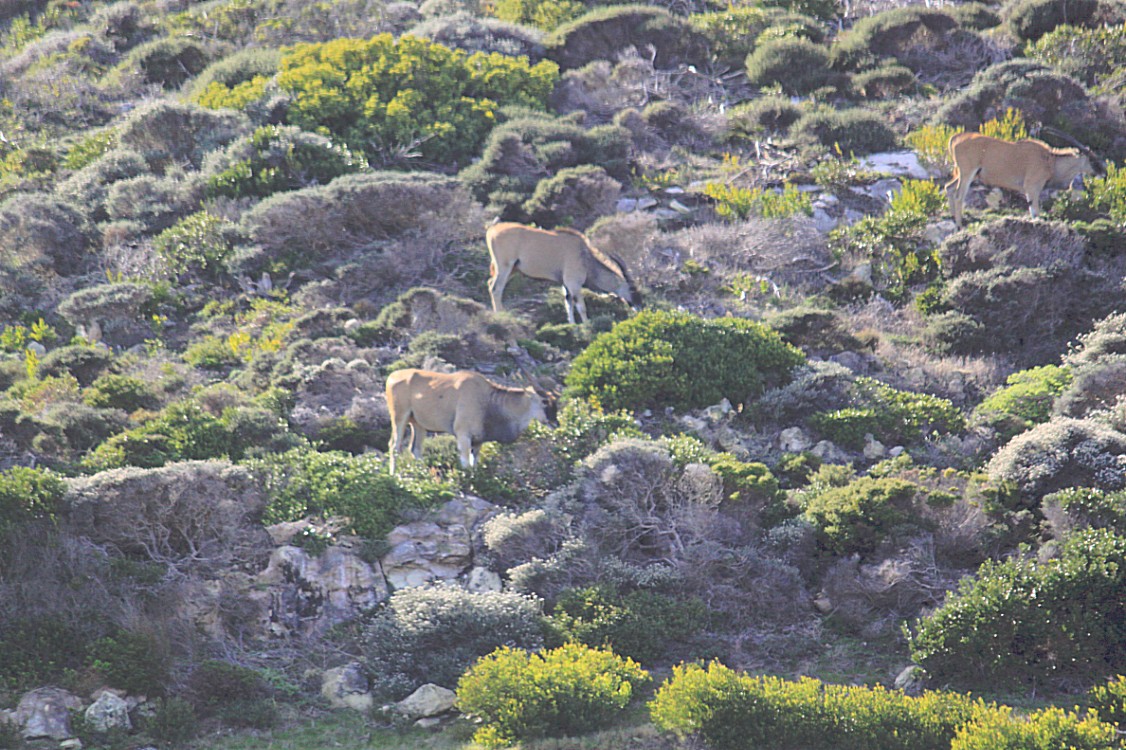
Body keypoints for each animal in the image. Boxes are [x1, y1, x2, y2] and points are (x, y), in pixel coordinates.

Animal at [385, 367, 556, 472]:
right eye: (545, 401)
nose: (556, 423)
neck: (487, 400)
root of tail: (392, 376)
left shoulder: (478, 442)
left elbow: (474, 465)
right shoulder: (463, 436)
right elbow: (466, 465)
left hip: (418, 425)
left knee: (415, 449)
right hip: (399, 417)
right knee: (394, 446)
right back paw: (395, 476)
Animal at [486, 220, 644, 322]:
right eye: (632, 289)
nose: (640, 307)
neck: (585, 257)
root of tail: (492, 230)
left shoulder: (566, 286)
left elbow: (569, 305)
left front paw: (573, 326)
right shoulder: (574, 284)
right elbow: (581, 307)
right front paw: (587, 327)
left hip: (512, 270)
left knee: (490, 284)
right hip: (505, 267)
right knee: (496, 289)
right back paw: (500, 316)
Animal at [941, 131, 1098, 225]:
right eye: (1091, 159)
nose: (1102, 171)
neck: (1049, 161)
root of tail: (955, 138)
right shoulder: (1032, 188)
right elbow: (1035, 212)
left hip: (965, 175)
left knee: (949, 188)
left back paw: (953, 218)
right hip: (967, 173)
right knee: (959, 196)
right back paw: (960, 226)